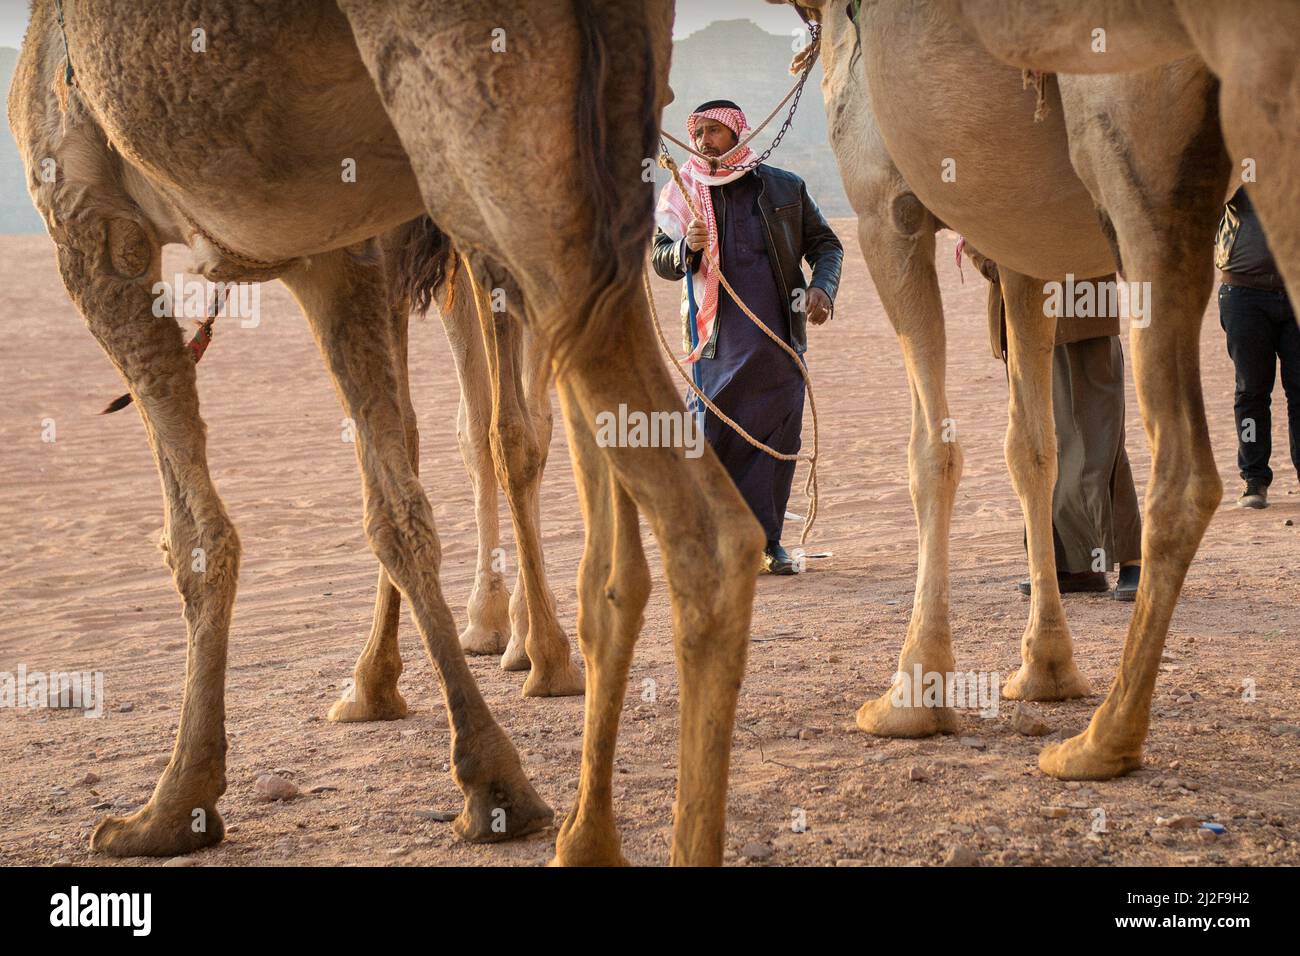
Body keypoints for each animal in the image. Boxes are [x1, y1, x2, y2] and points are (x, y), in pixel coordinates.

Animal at [12, 0, 759, 868]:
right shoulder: (341, 250)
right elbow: (398, 495)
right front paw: (472, 760)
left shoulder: (89, 225)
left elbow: (196, 538)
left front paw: (174, 805)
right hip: (577, 181)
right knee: (564, 461)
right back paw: (564, 755)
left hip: (489, 159)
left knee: (684, 518)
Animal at [795, 0, 1232, 780]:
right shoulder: (1019, 245)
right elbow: (1033, 449)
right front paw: (1046, 671)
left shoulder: (884, 203)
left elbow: (930, 451)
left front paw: (913, 694)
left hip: (1136, 145)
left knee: (1182, 471)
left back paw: (1105, 740)